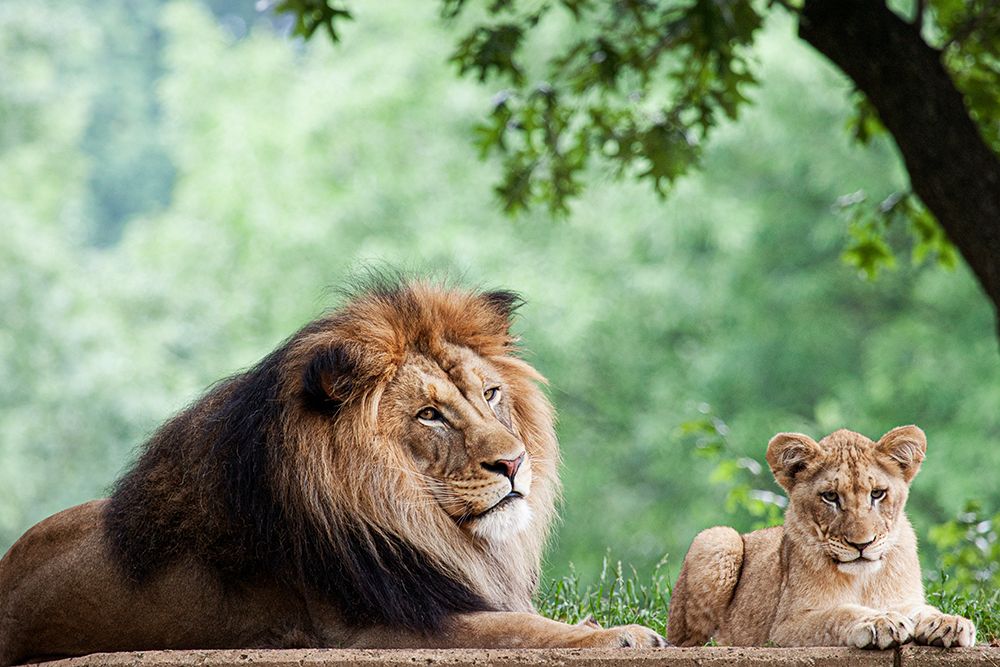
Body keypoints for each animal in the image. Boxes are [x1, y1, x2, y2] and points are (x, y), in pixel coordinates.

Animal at [0, 280, 665, 666]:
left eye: (492, 393)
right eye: (428, 415)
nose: (514, 461)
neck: (413, 518)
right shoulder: (370, 630)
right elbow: (516, 629)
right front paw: (619, 634)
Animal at [667, 426, 976, 649]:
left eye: (877, 494)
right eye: (830, 497)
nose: (862, 544)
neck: (863, 579)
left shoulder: (905, 599)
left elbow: (922, 610)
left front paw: (948, 623)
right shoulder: (784, 628)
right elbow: (838, 613)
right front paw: (879, 621)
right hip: (718, 537)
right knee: (691, 641)